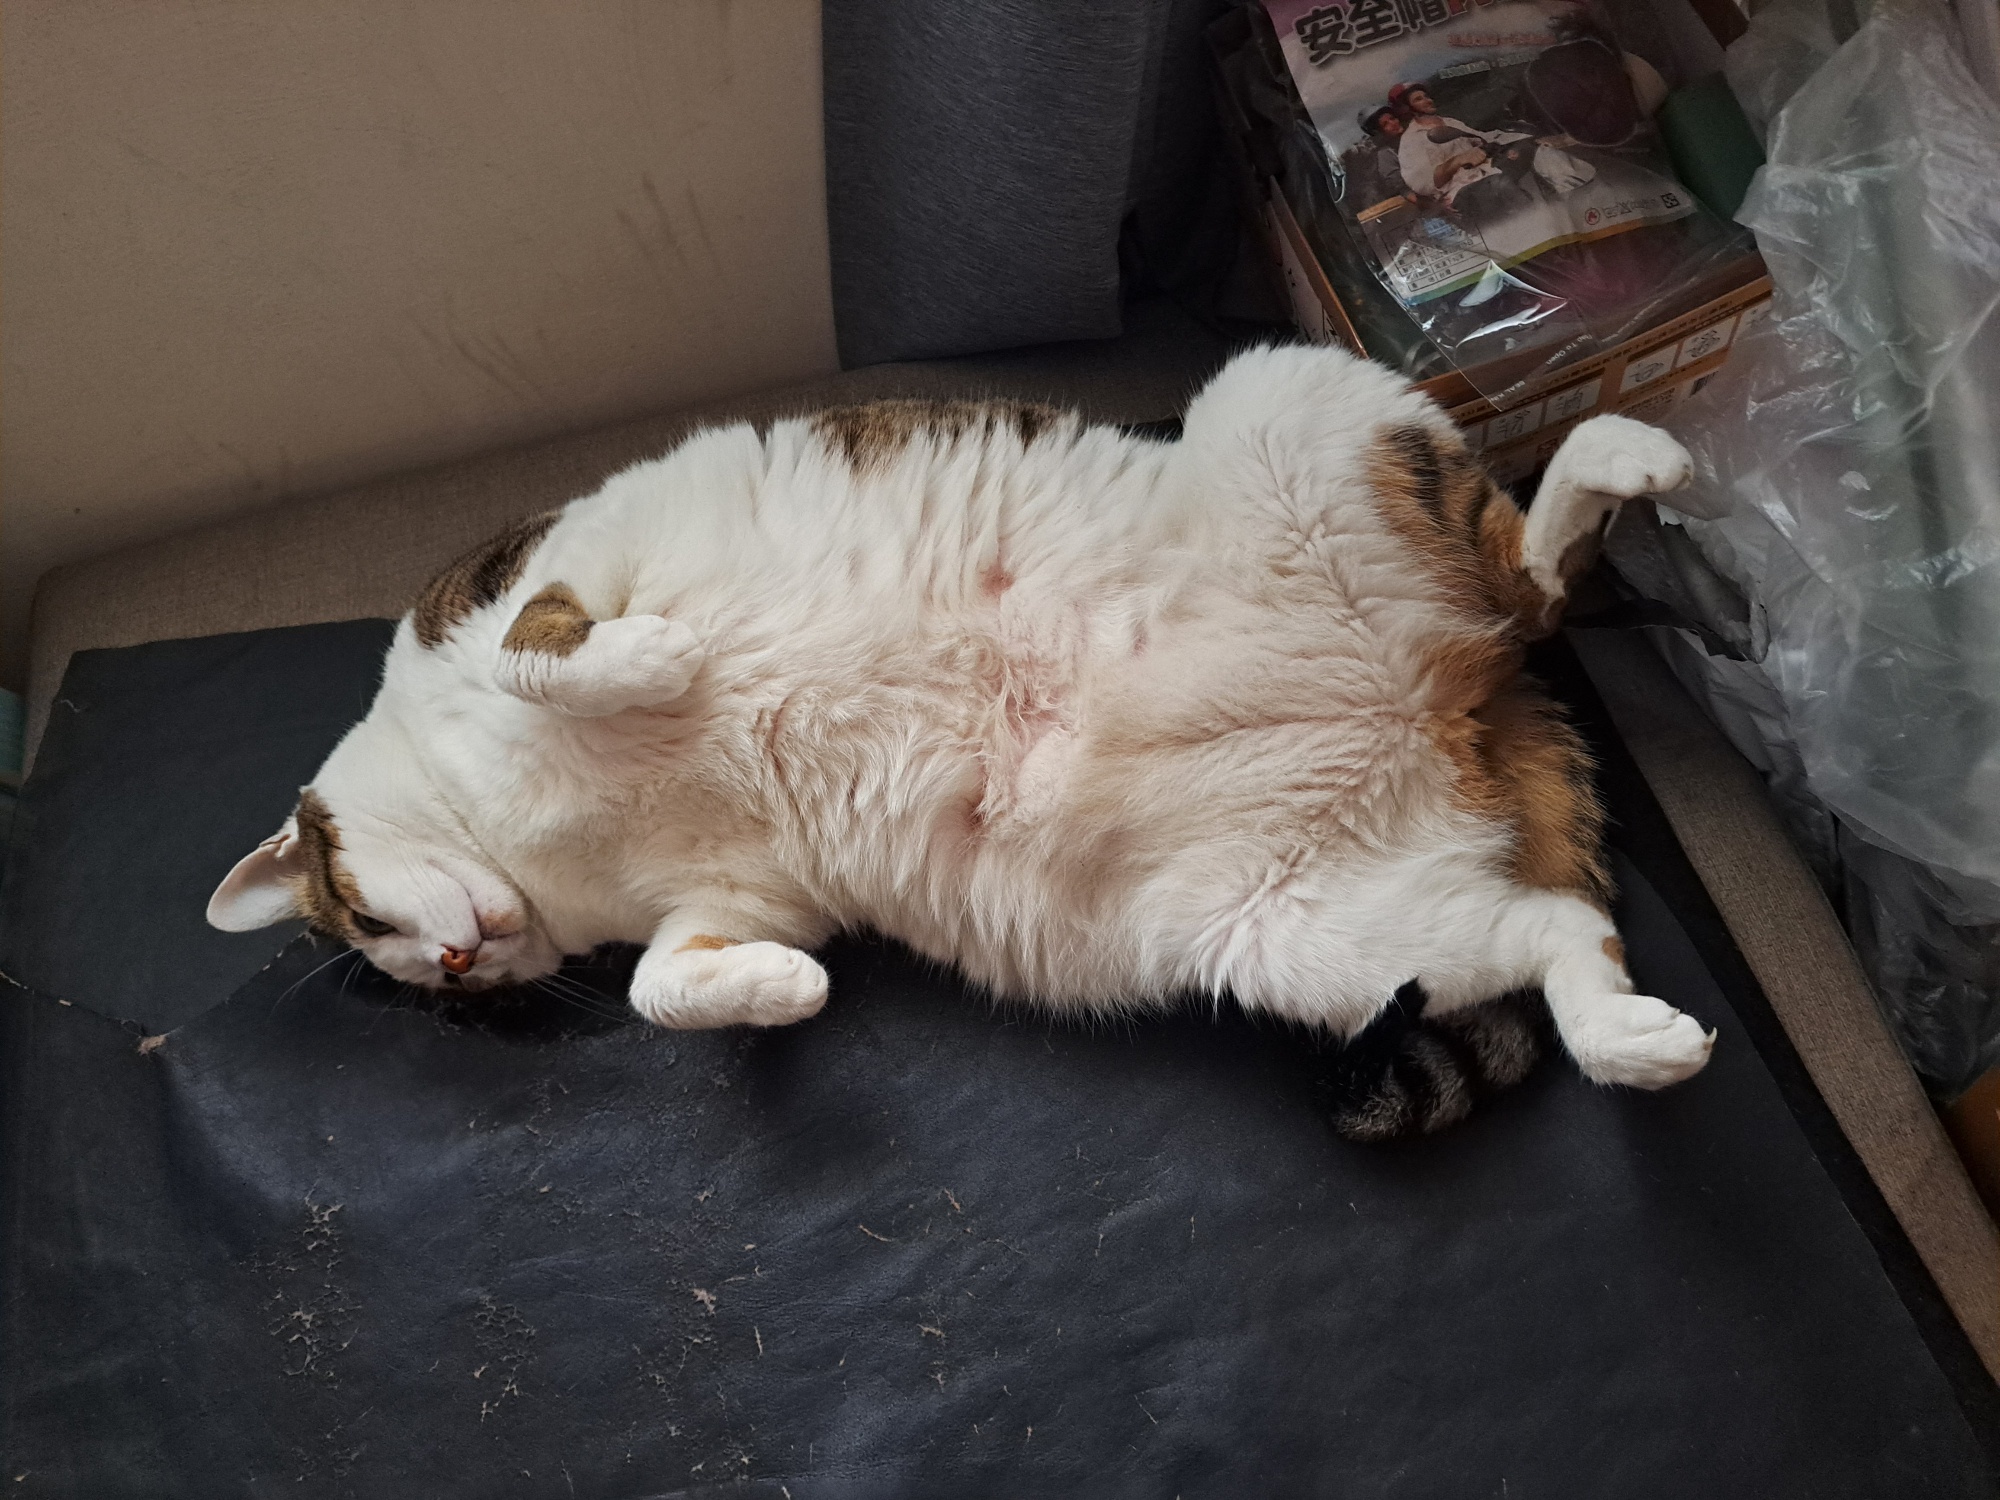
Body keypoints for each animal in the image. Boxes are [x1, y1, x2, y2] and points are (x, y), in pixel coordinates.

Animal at [208, 344, 1714, 1139]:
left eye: (363, 923)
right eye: (435, 997)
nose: (460, 963)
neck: (518, 839)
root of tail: (1456, 699)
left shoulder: (554, 562)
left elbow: (546, 648)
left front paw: (655, 660)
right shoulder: (734, 900)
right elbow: (663, 987)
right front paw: (780, 998)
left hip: (1287, 402)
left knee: (1529, 575)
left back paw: (1623, 458)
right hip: (1313, 942)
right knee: (1560, 931)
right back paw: (1638, 1042)